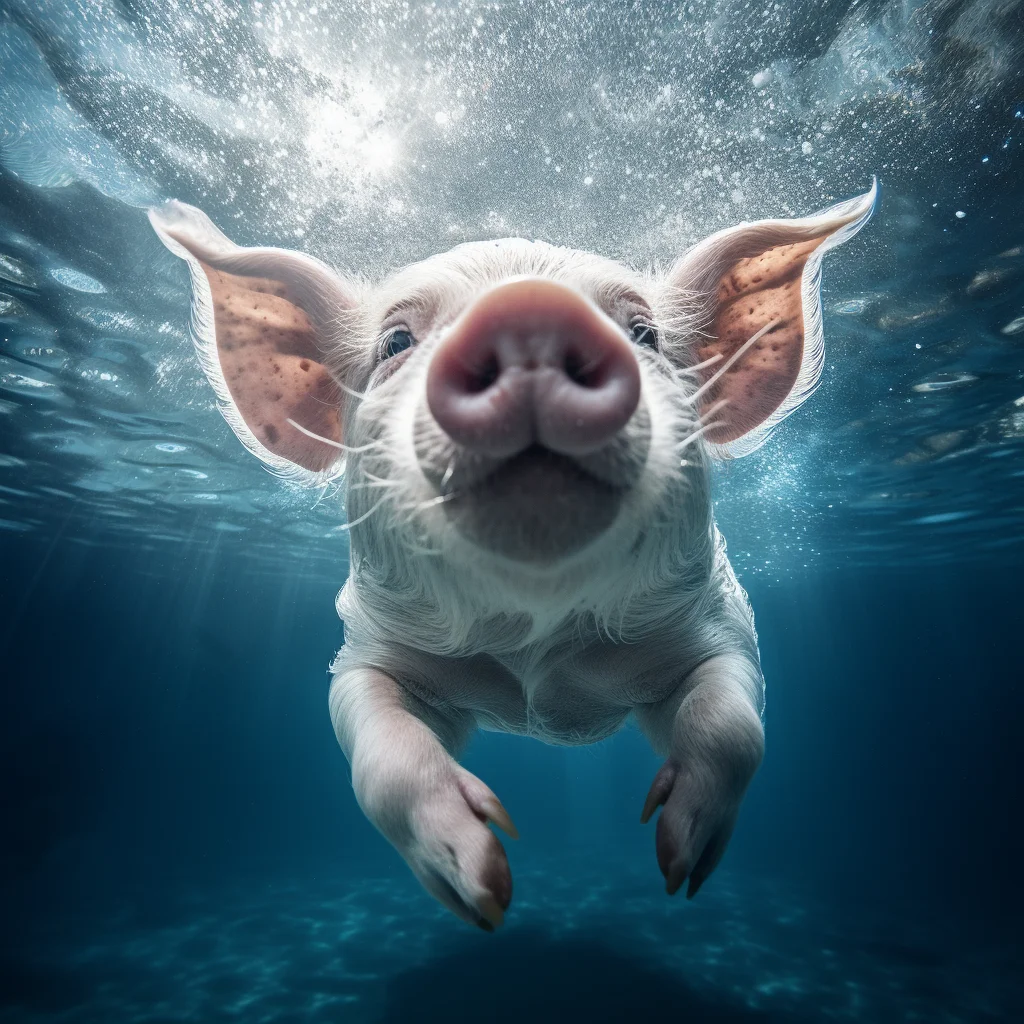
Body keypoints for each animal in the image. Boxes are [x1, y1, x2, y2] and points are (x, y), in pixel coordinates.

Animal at [150, 181, 875, 930]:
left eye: (644, 333)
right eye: (395, 341)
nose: (529, 310)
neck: (533, 661)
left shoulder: (720, 622)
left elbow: (733, 725)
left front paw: (679, 864)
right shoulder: (366, 651)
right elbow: (382, 752)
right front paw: (486, 891)